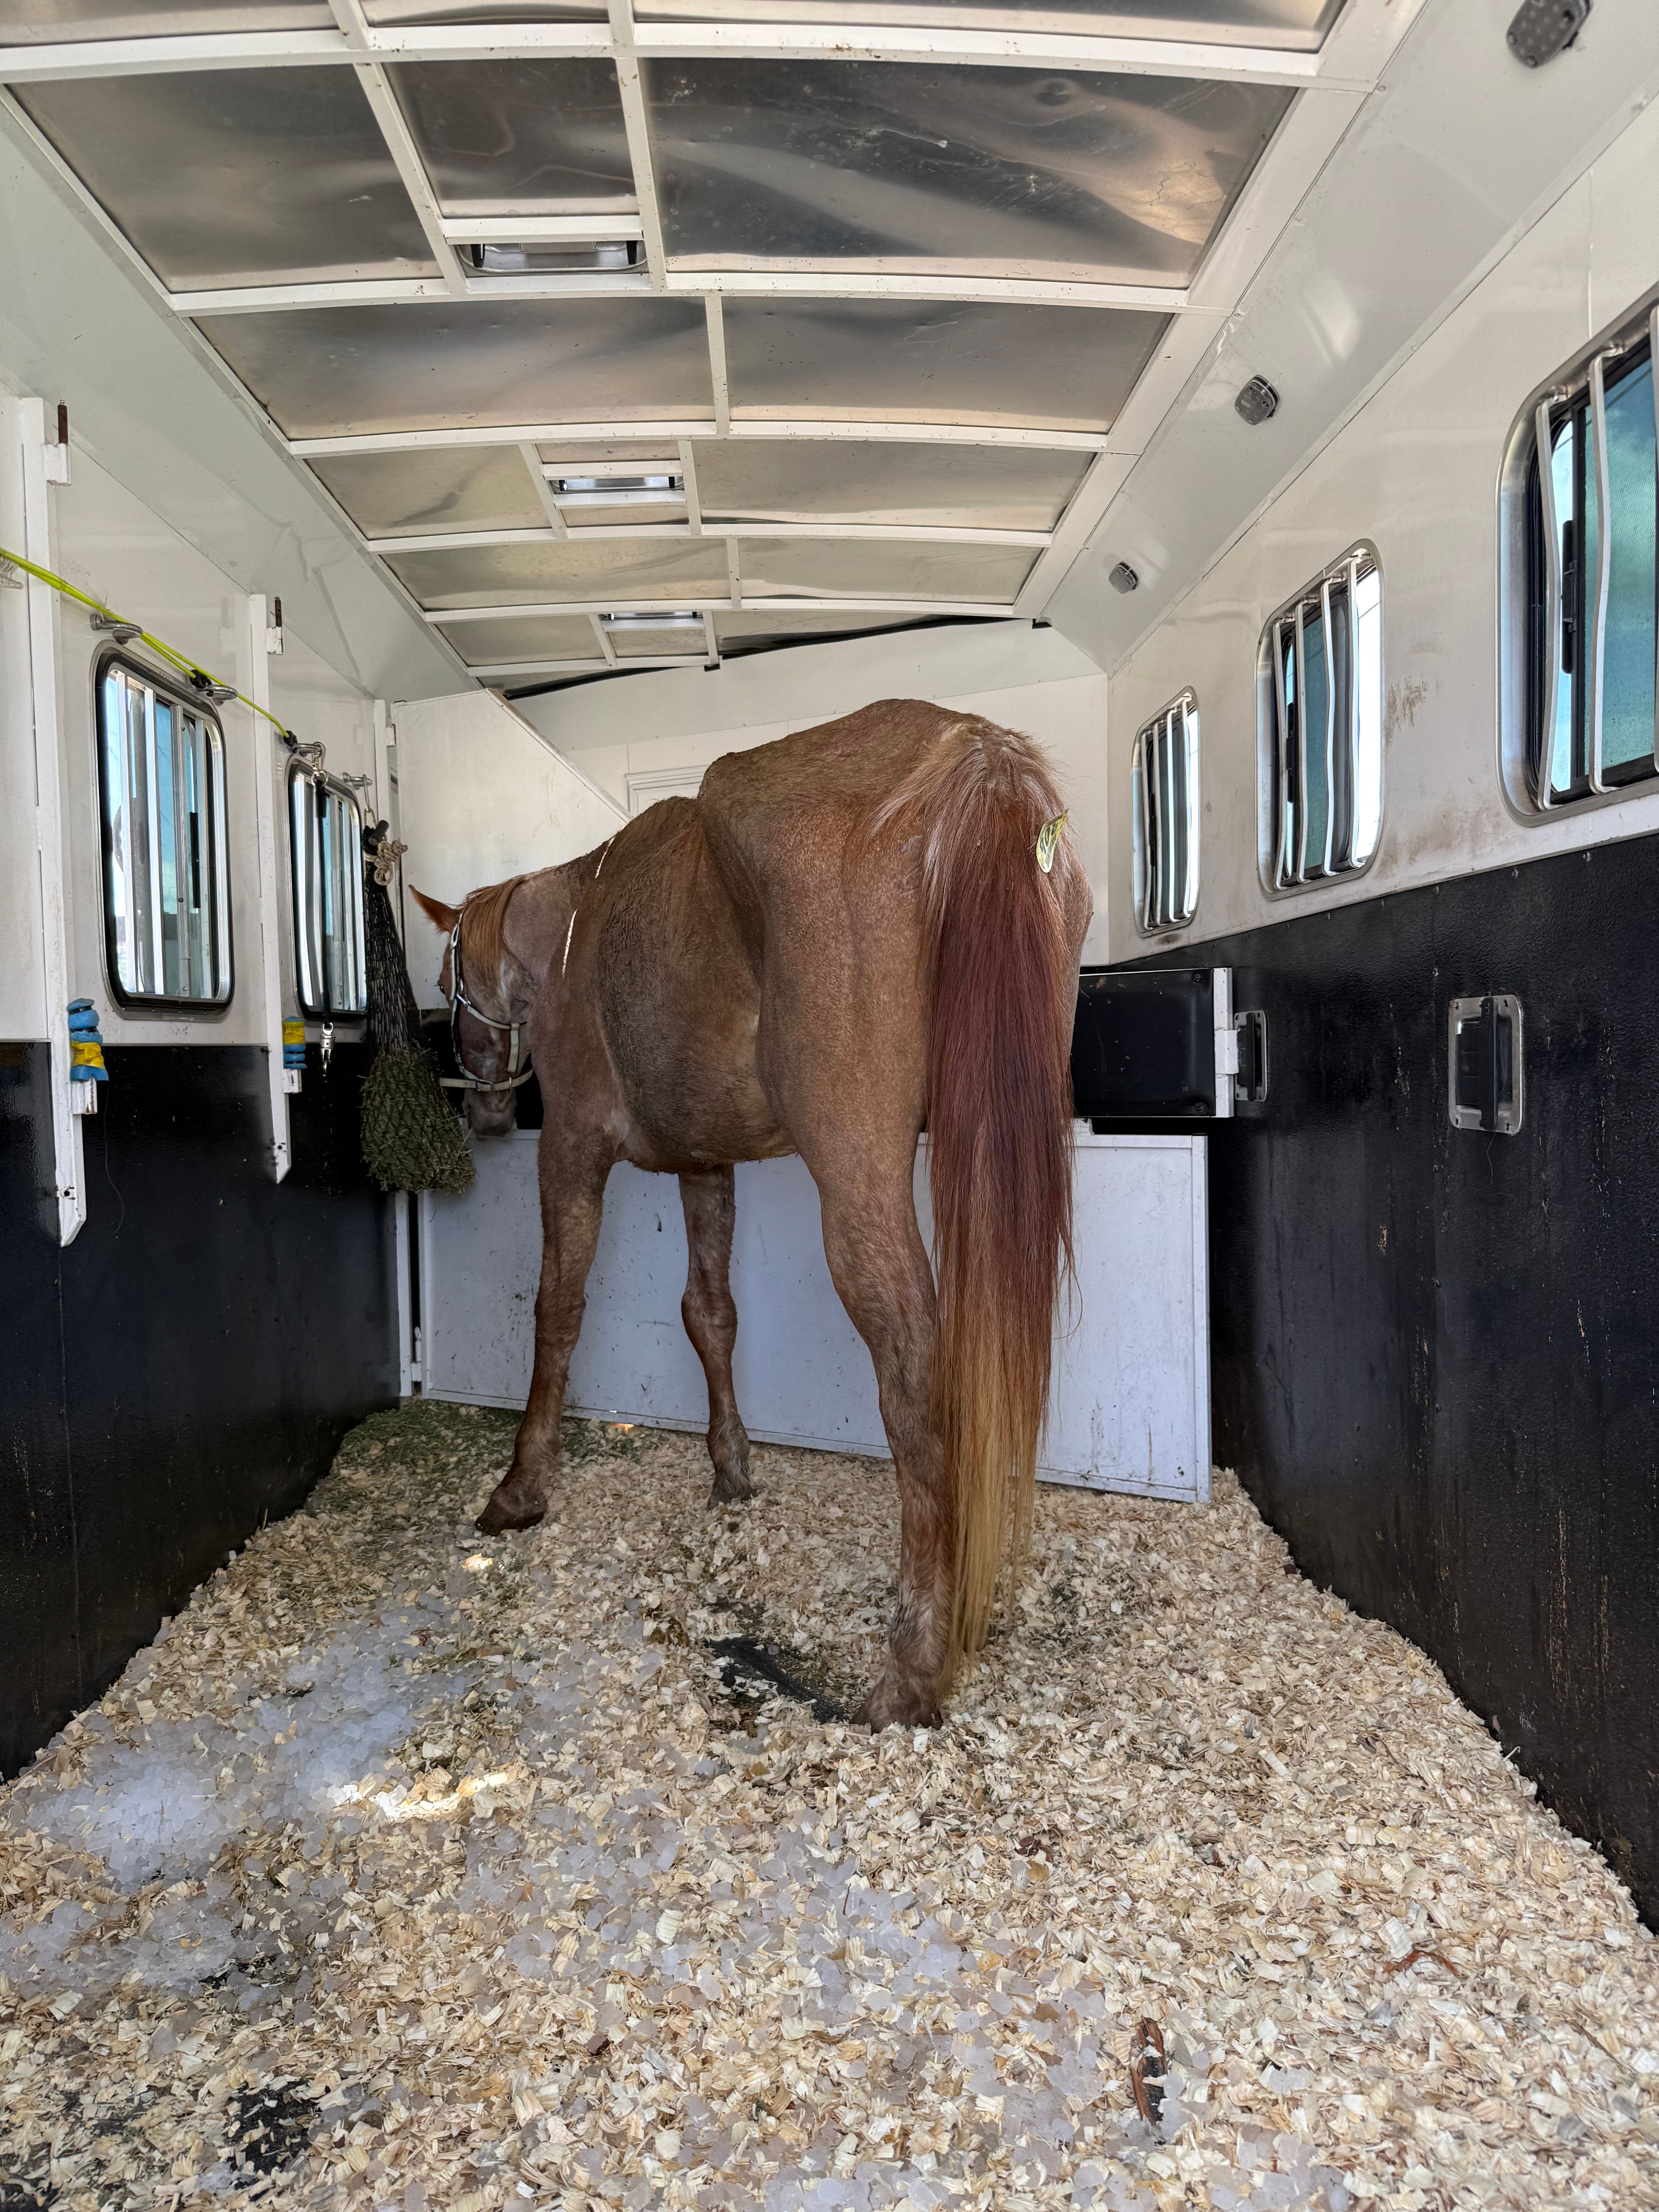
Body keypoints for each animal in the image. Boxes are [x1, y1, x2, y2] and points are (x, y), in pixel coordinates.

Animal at [412, 698, 1090, 1727]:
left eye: (450, 985)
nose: (482, 1112)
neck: (575, 927)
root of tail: (976, 758)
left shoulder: (571, 1152)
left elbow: (556, 1313)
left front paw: (521, 1488)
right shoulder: (705, 1166)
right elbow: (710, 1314)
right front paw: (730, 1471)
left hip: (858, 1179)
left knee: (914, 1371)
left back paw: (916, 1659)